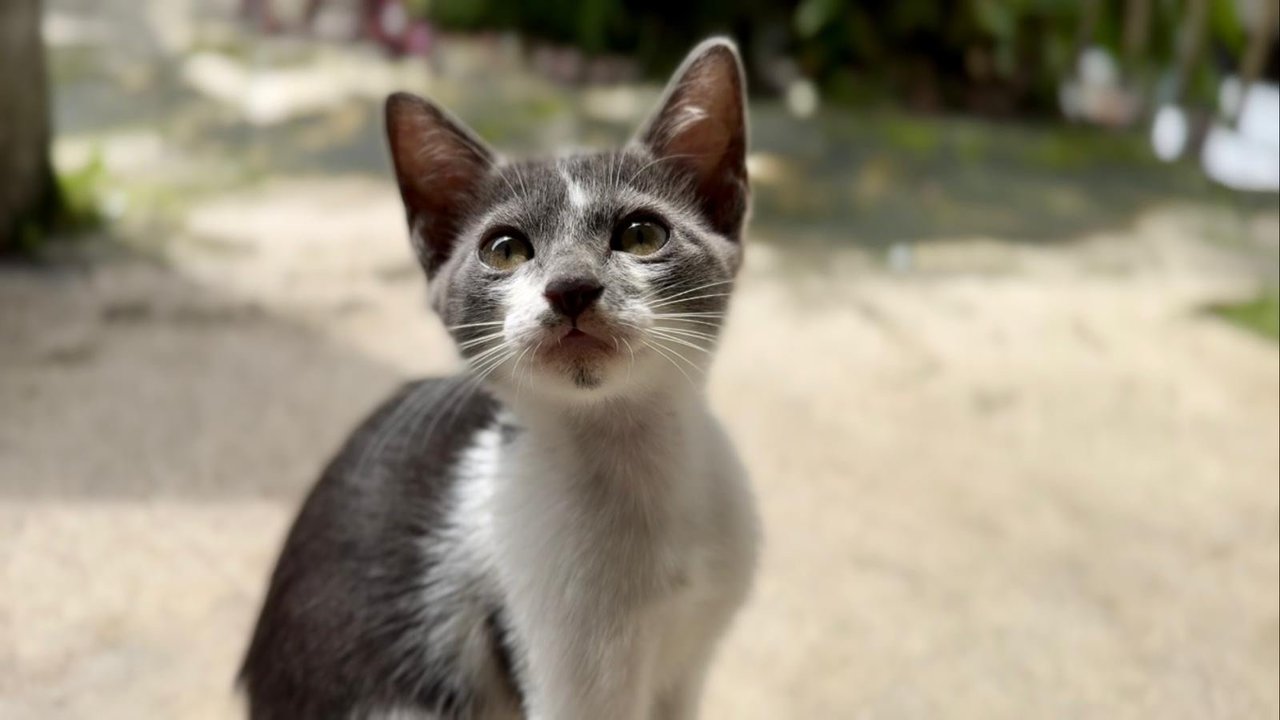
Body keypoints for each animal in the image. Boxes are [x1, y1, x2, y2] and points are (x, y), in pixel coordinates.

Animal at [238, 39, 757, 717]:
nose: (571, 287)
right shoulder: (566, 674)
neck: (633, 466)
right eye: (504, 249)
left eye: (642, 234)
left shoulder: (690, 661)